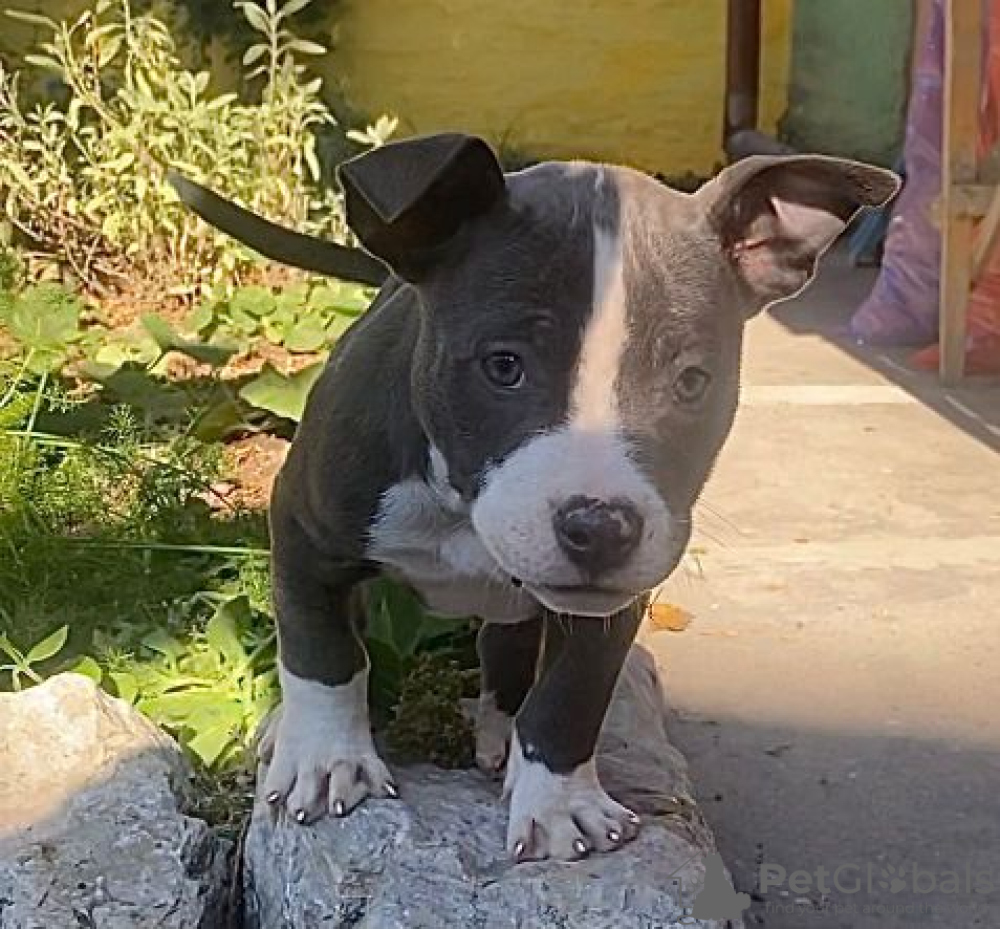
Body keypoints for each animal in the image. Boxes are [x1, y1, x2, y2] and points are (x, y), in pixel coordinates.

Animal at [170, 134, 897, 862]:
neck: (460, 512)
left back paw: (502, 732)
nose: (601, 528)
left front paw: (557, 800)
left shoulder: (614, 601)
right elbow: (322, 651)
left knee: (510, 648)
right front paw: (325, 759)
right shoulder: (303, 528)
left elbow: (571, 694)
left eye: (693, 382)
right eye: (504, 365)